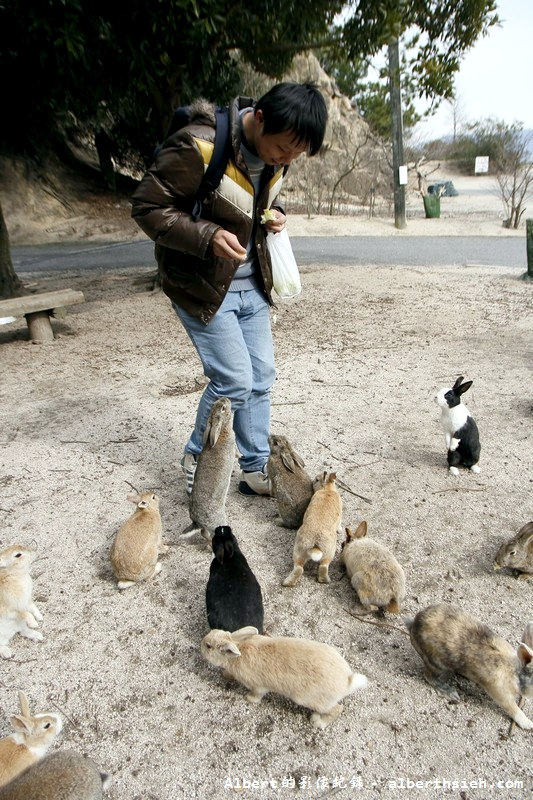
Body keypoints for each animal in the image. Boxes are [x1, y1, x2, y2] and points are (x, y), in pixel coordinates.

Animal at [181, 396, 235, 544]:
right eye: (223, 408)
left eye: (217, 404)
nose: (226, 399)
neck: (221, 431)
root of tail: (196, 521)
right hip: (218, 521)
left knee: (203, 533)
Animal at [200, 624, 366, 732]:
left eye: (208, 646)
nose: (201, 643)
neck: (237, 652)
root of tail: (347, 682)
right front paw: (225, 674)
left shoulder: (258, 686)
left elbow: (257, 695)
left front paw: (249, 699)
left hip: (311, 700)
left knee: (337, 709)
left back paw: (318, 722)